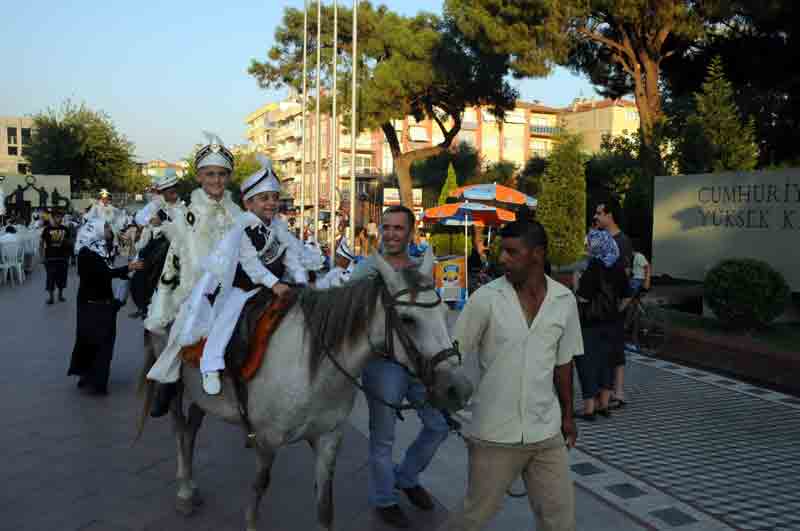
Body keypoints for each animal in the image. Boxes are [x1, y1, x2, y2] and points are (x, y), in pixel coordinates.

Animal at [139, 252, 476, 531]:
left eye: (445, 313)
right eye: (408, 319)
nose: (458, 388)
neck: (316, 367)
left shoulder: (328, 439)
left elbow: (325, 509)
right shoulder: (267, 441)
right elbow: (257, 494)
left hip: (204, 397)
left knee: (192, 428)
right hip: (175, 385)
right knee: (180, 430)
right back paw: (185, 491)